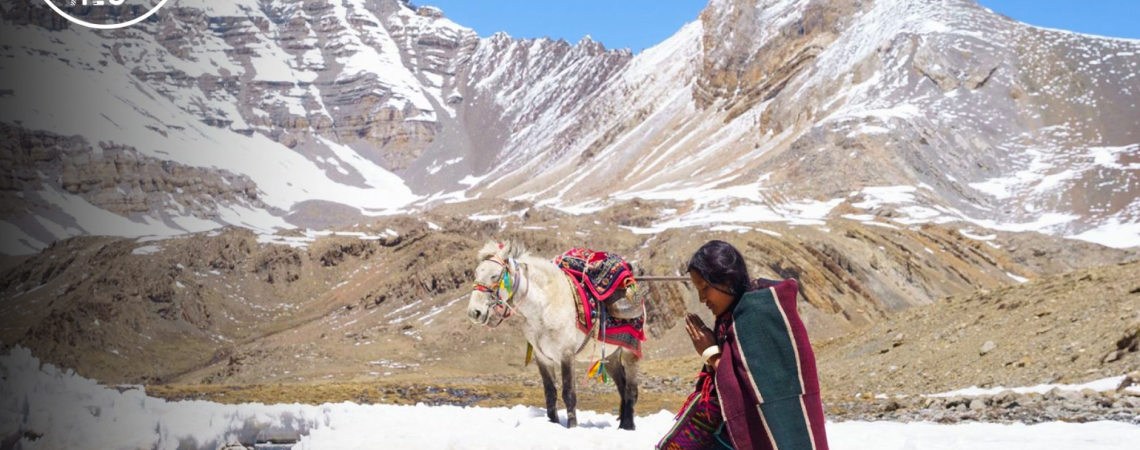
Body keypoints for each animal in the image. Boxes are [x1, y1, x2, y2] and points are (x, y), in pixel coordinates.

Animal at [465, 241, 642, 430]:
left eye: (495, 275)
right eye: (476, 273)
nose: (474, 312)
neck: (545, 306)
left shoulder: (566, 354)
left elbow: (569, 393)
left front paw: (572, 426)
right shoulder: (542, 357)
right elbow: (550, 393)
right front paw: (553, 422)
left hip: (630, 352)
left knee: (631, 389)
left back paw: (629, 426)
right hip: (610, 355)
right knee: (622, 386)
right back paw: (622, 425)